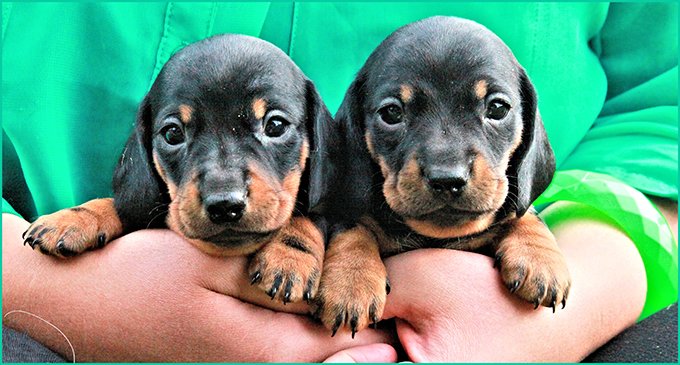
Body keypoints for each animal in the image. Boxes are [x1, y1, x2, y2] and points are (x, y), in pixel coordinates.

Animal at [20, 34, 330, 302]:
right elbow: (126, 205)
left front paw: (290, 255)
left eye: (275, 125)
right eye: (172, 134)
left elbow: (311, 215)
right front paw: (74, 217)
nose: (225, 205)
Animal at [314, 17, 572, 336]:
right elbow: (353, 226)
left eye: (497, 108)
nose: (447, 179)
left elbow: (522, 211)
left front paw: (539, 256)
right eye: (391, 113)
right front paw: (351, 281)